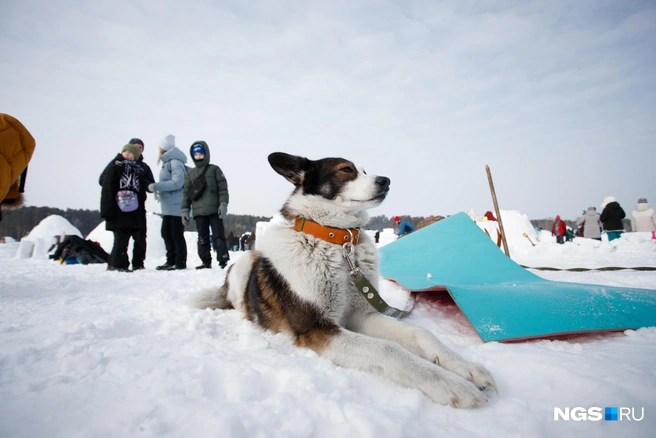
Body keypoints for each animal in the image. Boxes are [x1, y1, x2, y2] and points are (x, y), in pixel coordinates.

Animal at [191, 153, 498, 408]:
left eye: (365, 170)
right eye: (346, 170)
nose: (386, 180)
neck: (337, 241)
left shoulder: (361, 315)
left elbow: (421, 333)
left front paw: (466, 368)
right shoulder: (316, 328)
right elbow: (389, 349)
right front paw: (449, 384)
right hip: (246, 261)